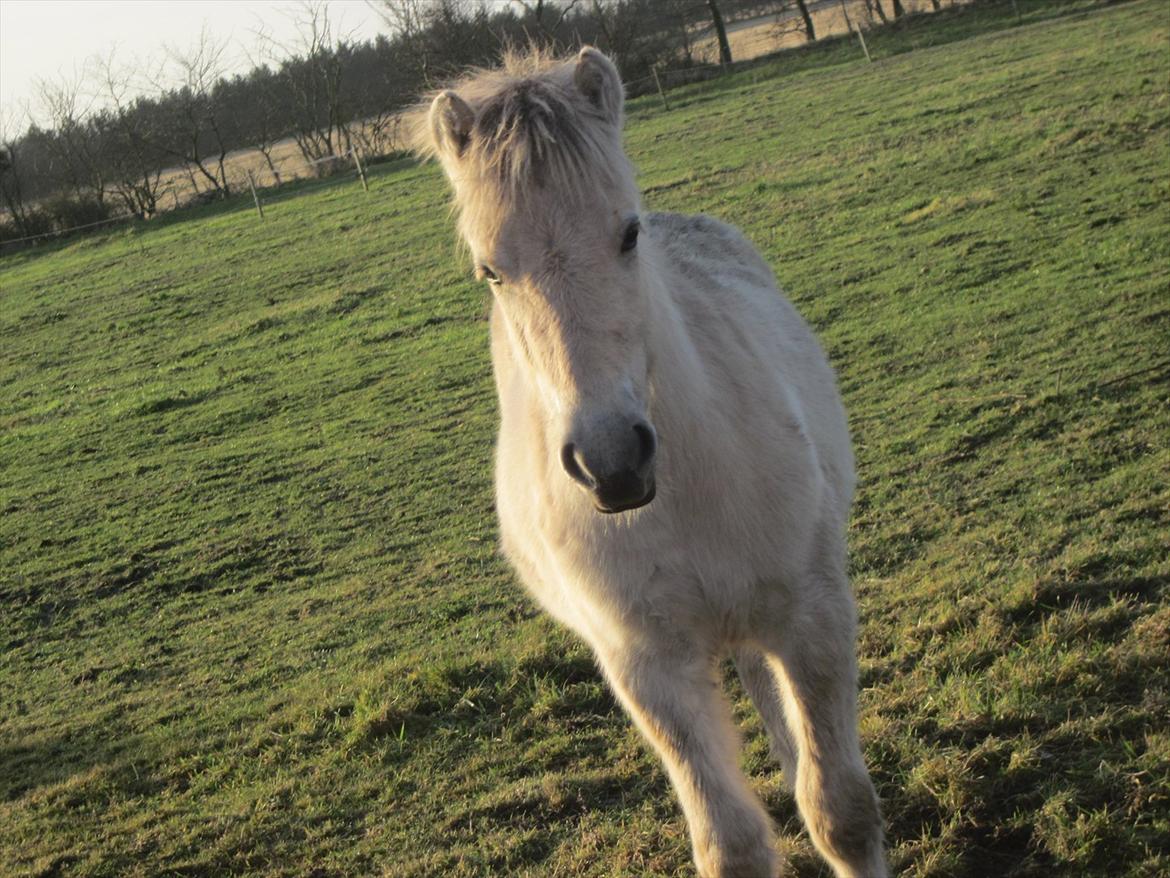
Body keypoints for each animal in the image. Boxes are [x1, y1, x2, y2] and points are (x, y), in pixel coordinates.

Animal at [416, 47, 879, 878]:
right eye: (491, 271)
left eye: (628, 234)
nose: (612, 462)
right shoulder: (646, 666)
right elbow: (731, 844)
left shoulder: (814, 614)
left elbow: (842, 813)